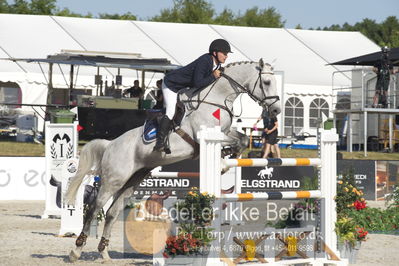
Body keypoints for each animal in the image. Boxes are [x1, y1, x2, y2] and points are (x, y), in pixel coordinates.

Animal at [65, 58, 282, 262]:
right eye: (267, 82)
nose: (276, 111)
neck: (216, 98)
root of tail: (110, 144)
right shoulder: (204, 136)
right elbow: (230, 142)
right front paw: (222, 162)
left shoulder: (227, 131)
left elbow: (243, 139)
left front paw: (230, 155)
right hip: (113, 181)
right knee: (94, 209)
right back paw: (76, 251)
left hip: (131, 181)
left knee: (112, 212)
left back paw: (104, 253)